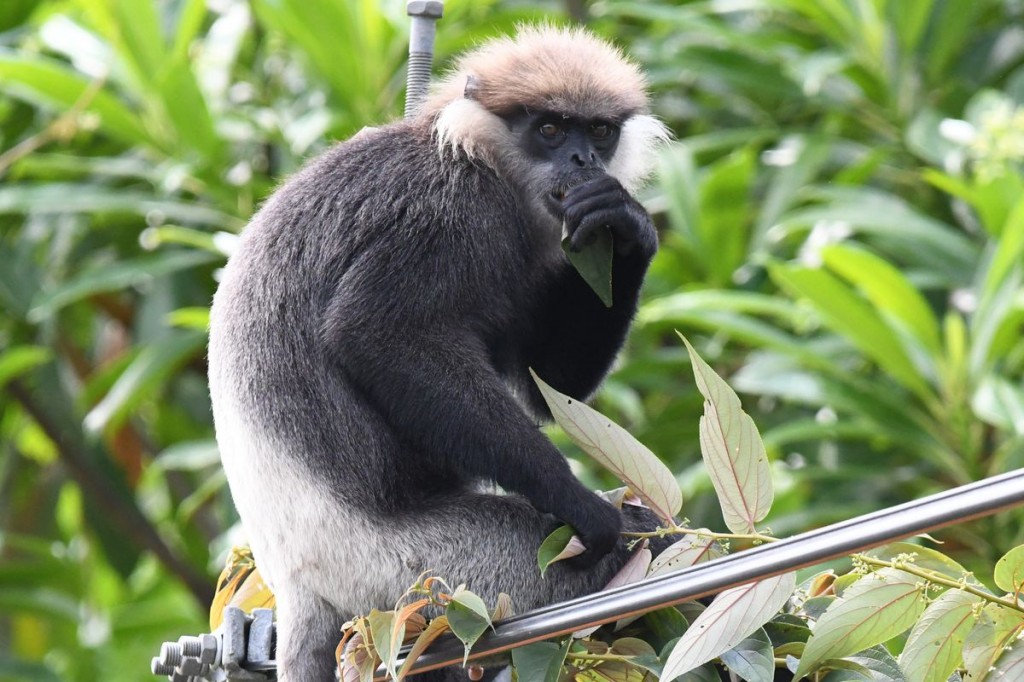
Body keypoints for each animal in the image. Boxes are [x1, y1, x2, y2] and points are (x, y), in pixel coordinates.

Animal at [207, 25, 670, 681]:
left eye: (599, 132)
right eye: (551, 129)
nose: (583, 162)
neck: (479, 156)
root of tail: (296, 587)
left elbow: (549, 383)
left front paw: (628, 222)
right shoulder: (451, 212)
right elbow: (377, 337)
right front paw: (586, 507)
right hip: (421, 573)